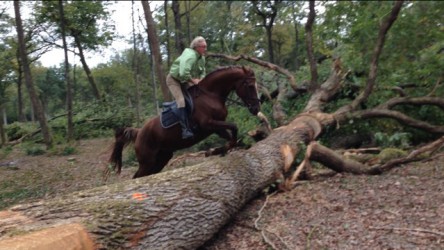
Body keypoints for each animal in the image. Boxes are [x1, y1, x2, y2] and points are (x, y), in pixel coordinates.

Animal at [109, 64, 260, 178]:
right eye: (250, 86)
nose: (256, 108)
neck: (211, 95)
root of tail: (139, 132)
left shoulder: (216, 128)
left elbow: (234, 139)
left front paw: (216, 151)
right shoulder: (209, 124)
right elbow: (234, 127)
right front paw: (213, 151)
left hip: (162, 158)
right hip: (147, 161)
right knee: (137, 177)